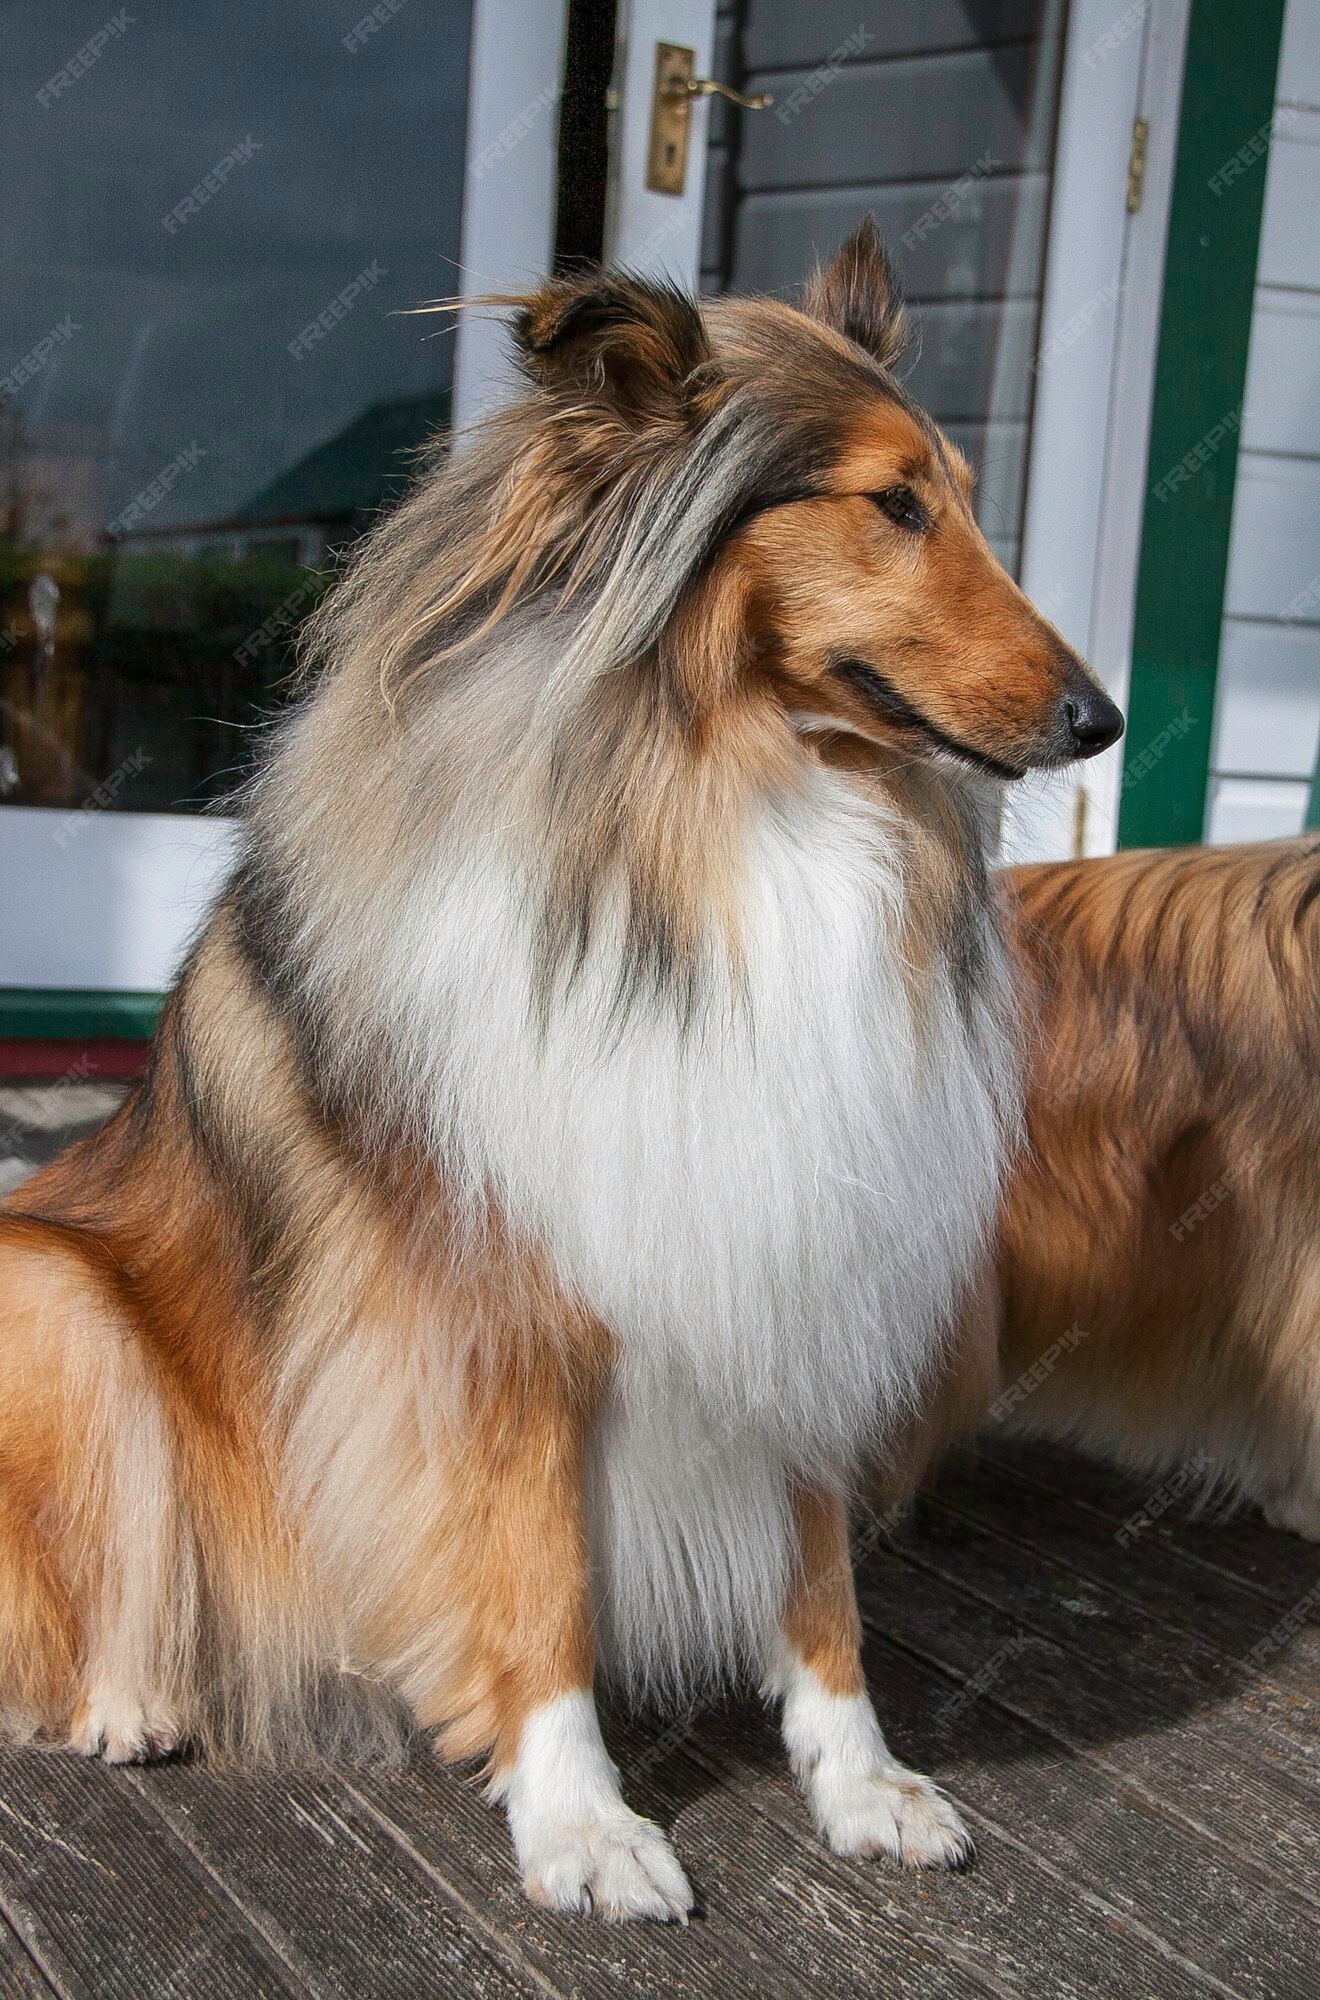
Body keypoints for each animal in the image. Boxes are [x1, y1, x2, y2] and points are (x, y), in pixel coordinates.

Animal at [0, 223, 1128, 1920]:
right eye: (892, 504)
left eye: (969, 499)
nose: (1103, 718)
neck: (739, 803)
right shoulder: (485, 1320)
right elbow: (532, 1578)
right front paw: (583, 1823)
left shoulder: (792, 1258)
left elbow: (823, 1585)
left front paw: (862, 1787)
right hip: (53, 1291)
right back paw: (133, 1702)